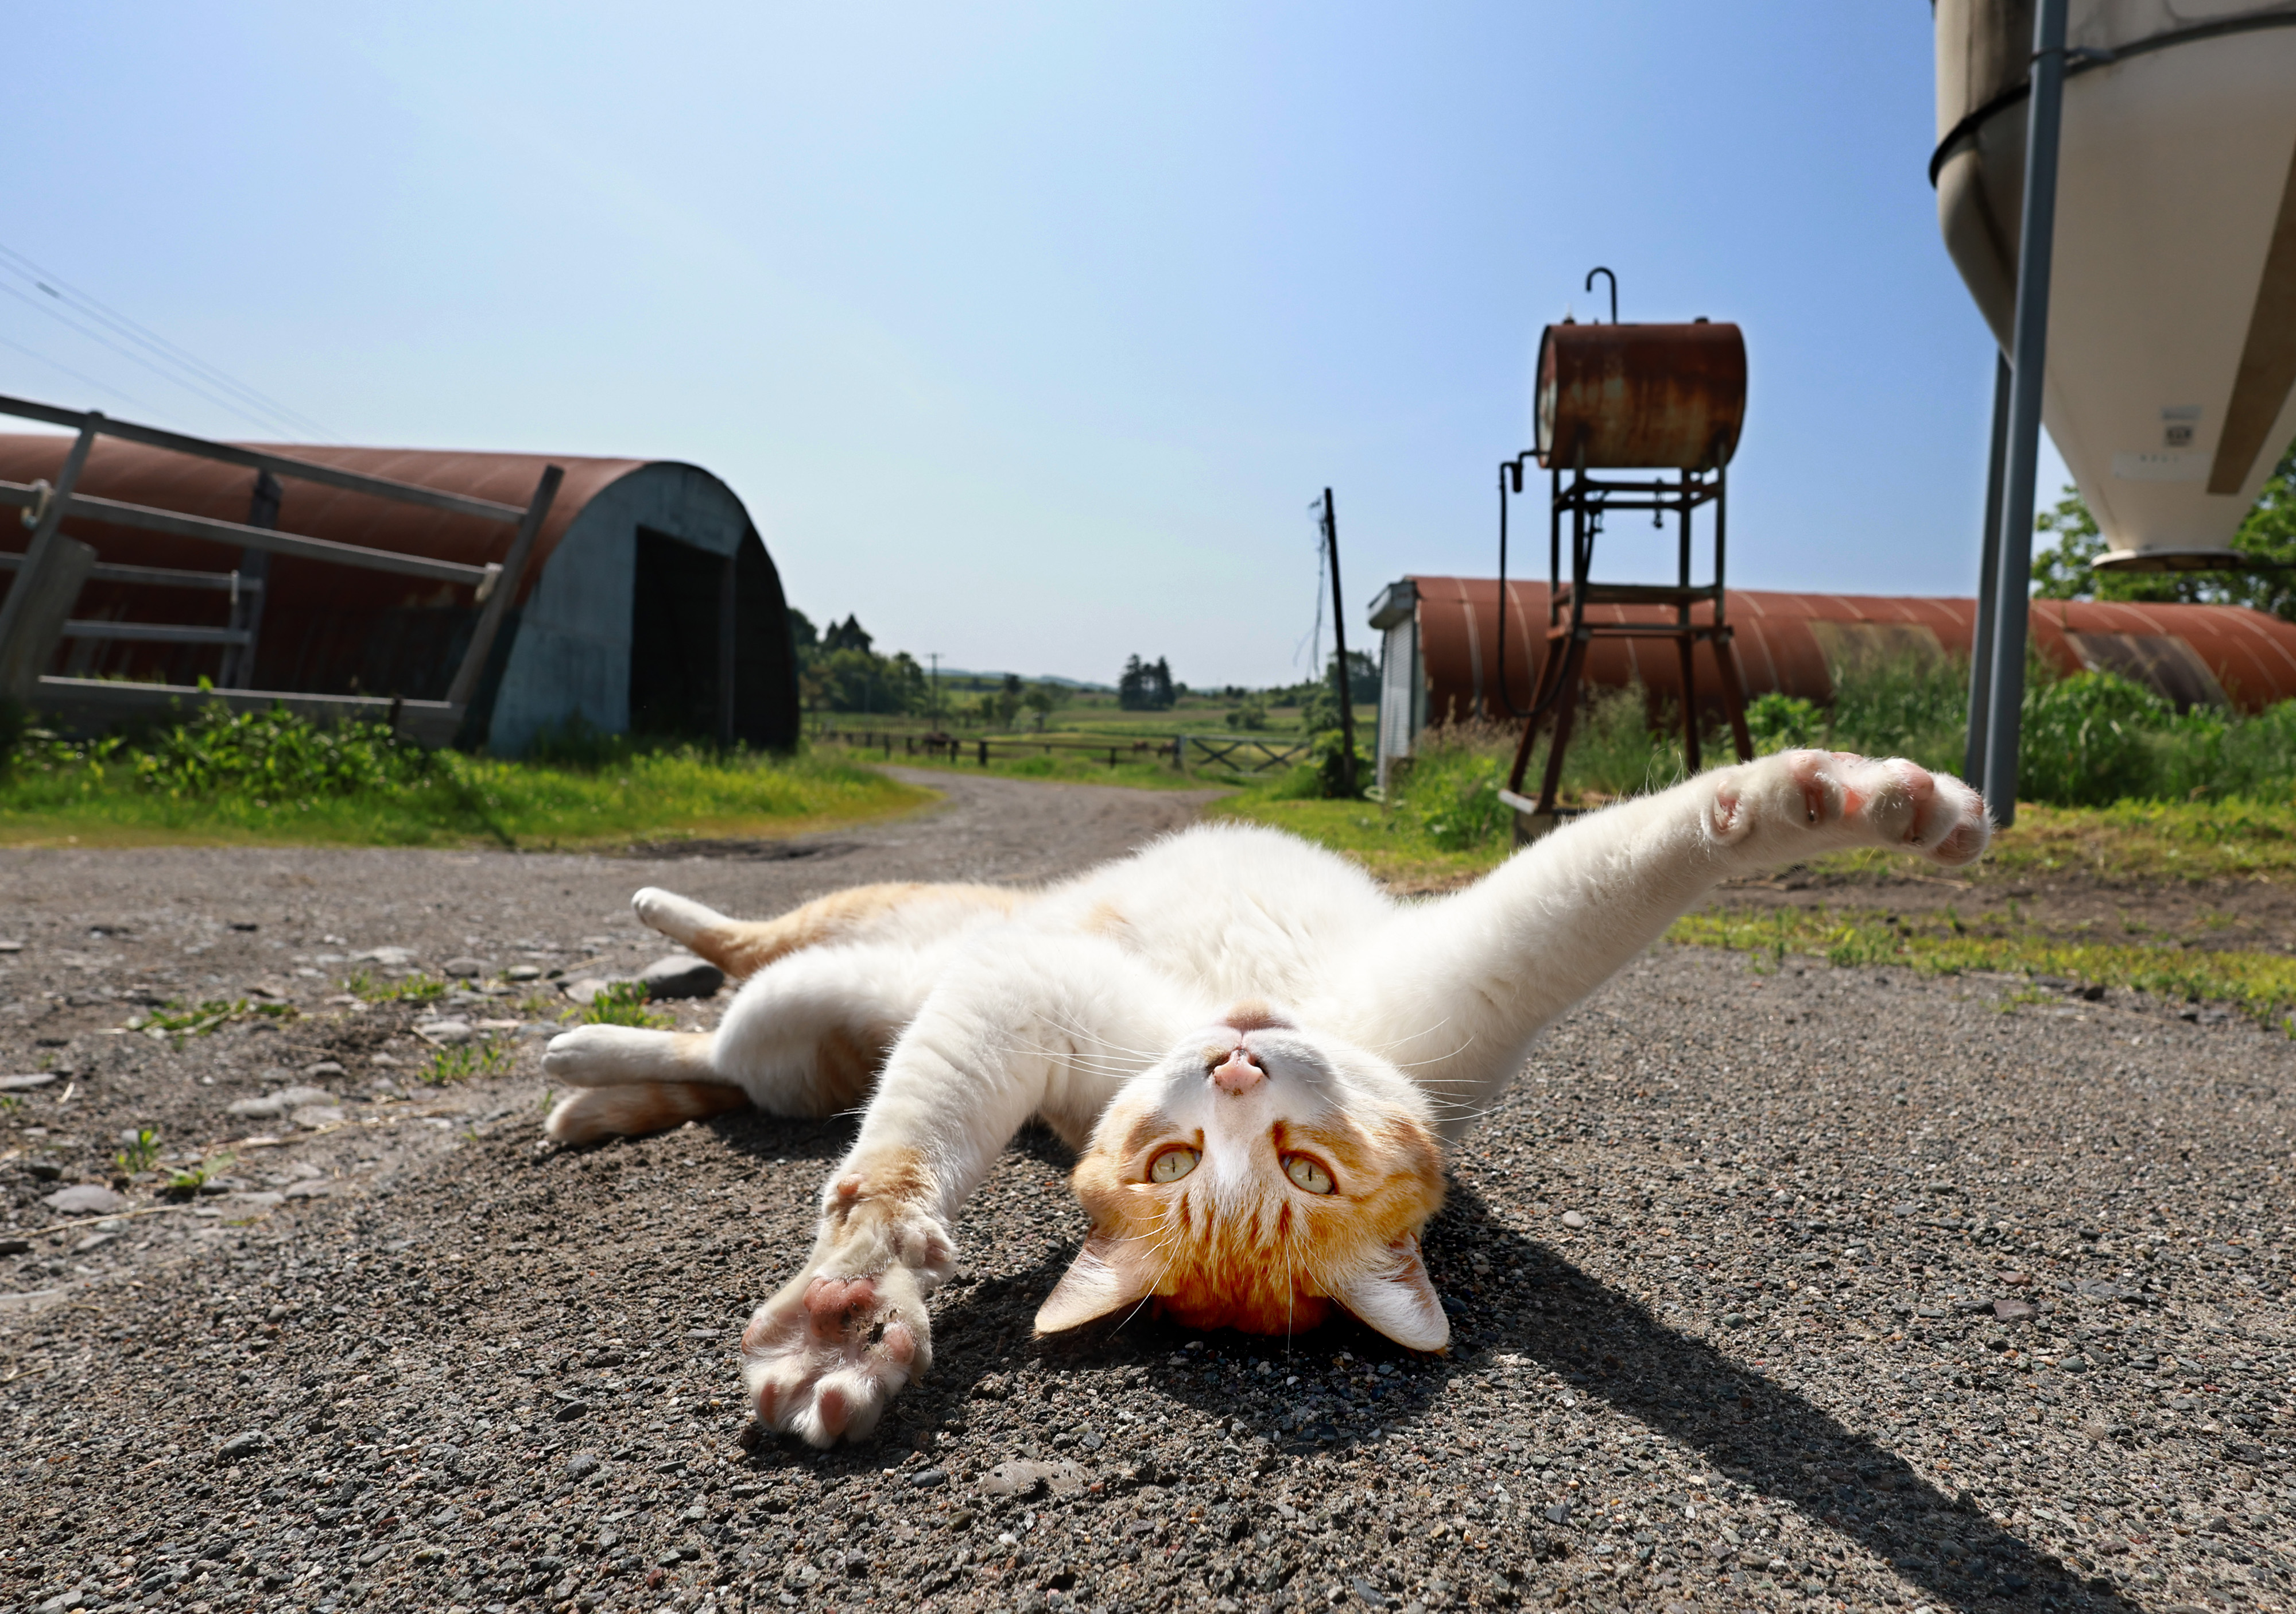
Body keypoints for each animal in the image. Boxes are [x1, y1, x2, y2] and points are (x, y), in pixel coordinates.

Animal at [542, 753, 1993, 1442]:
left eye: (1302, 1170)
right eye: (1176, 1156)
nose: (1235, 1056)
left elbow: (1624, 865)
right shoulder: (1023, 991)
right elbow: (895, 1174)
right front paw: (852, 1301)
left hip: (834, 1017)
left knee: (736, 1058)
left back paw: (591, 1086)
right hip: (895, 945)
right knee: (753, 959)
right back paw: (633, 964)